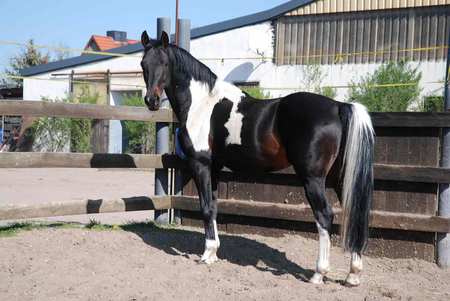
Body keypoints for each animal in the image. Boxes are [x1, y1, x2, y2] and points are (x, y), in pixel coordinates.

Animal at [139, 31, 374, 286]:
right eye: (143, 64)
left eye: (164, 63)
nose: (151, 101)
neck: (203, 104)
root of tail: (338, 106)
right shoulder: (214, 167)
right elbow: (214, 207)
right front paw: (214, 252)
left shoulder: (200, 165)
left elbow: (205, 208)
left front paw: (206, 254)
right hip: (340, 177)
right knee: (355, 214)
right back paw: (353, 274)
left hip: (313, 179)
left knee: (324, 216)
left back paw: (318, 273)